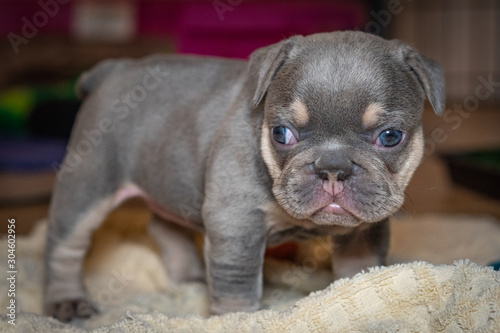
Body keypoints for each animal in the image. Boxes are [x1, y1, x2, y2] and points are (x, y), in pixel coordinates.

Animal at [45, 30, 446, 320]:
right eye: (281, 133)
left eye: (390, 137)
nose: (333, 168)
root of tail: (112, 70)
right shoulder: (235, 221)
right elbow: (236, 278)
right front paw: (235, 319)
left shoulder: (363, 230)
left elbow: (359, 267)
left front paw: (358, 294)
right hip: (88, 184)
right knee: (65, 245)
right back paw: (66, 301)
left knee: (164, 225)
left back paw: (191, 277)